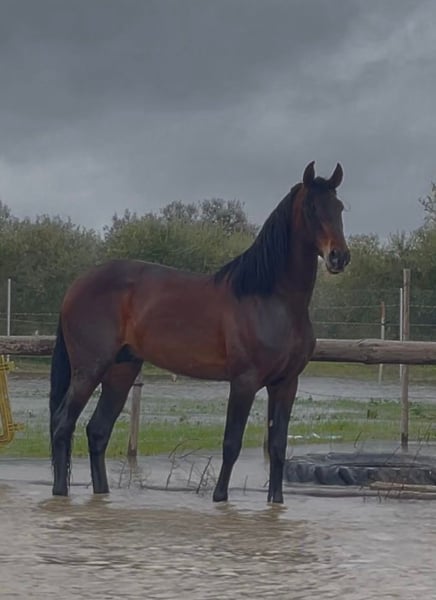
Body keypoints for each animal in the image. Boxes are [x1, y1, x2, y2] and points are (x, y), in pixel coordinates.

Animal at [49, 161, 350, 503]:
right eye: (312, 208)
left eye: (339, 207)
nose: (339, 256)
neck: (272, 299)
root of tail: (76, 286)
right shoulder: (244, 381)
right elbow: (231, 443)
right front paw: (220, 498)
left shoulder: (286, 384)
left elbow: (277, 446)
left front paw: (276, 501)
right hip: (89, 369)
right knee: (62, 424)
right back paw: (60, 493)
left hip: (120, 370)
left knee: (97, 431)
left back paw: (102, 493)